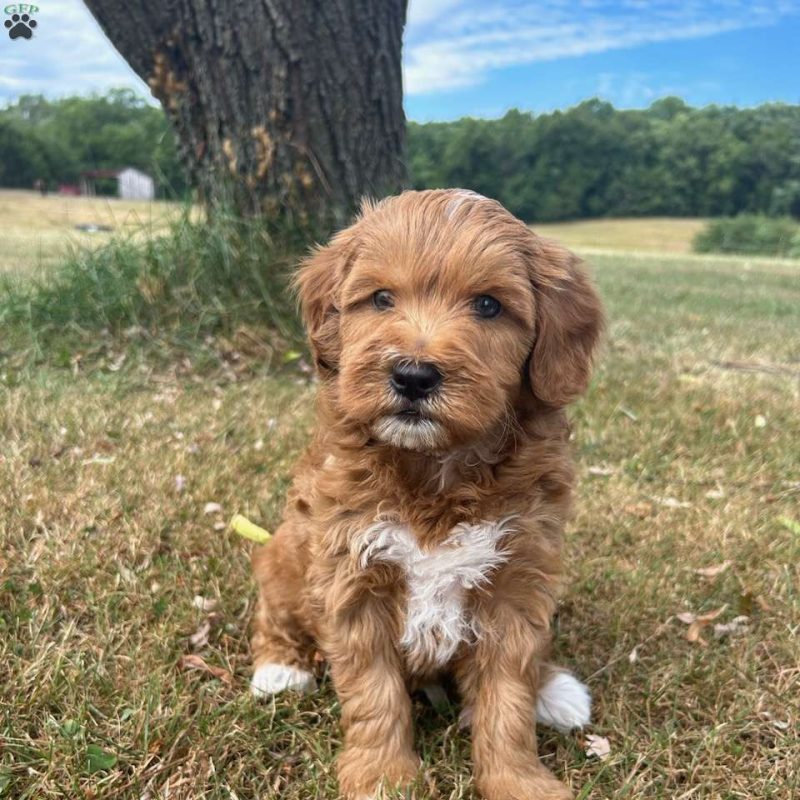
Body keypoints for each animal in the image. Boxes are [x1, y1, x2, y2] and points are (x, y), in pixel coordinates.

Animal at [248, 189, 600, 800]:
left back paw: (555, 689)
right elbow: (374, 693)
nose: (413, 375)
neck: (436, 469)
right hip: (283, 557)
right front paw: (383, 776)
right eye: (381, 298)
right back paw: (279, 668)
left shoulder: (517, 584)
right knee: (273, 614)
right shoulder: (350, 578)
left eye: (488, 306)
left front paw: (518, 780)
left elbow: (508, 697)